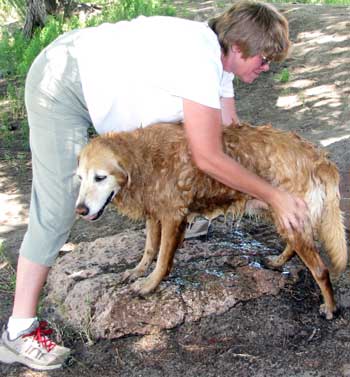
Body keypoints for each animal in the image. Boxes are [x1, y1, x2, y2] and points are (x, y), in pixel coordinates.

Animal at [76, 122, 348, 318]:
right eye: (80, 177)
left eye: (100, 177)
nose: (80, 209)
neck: (144, 160)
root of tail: (318, 157)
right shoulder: (154, 213)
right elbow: (150, 249)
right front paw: (138, 271)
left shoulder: (172, 217)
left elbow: (162, 258)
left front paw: (150, 284)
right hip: (282, 215)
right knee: (295, 247)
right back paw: (278, 261)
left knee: (321, 270)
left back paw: (330, 308)